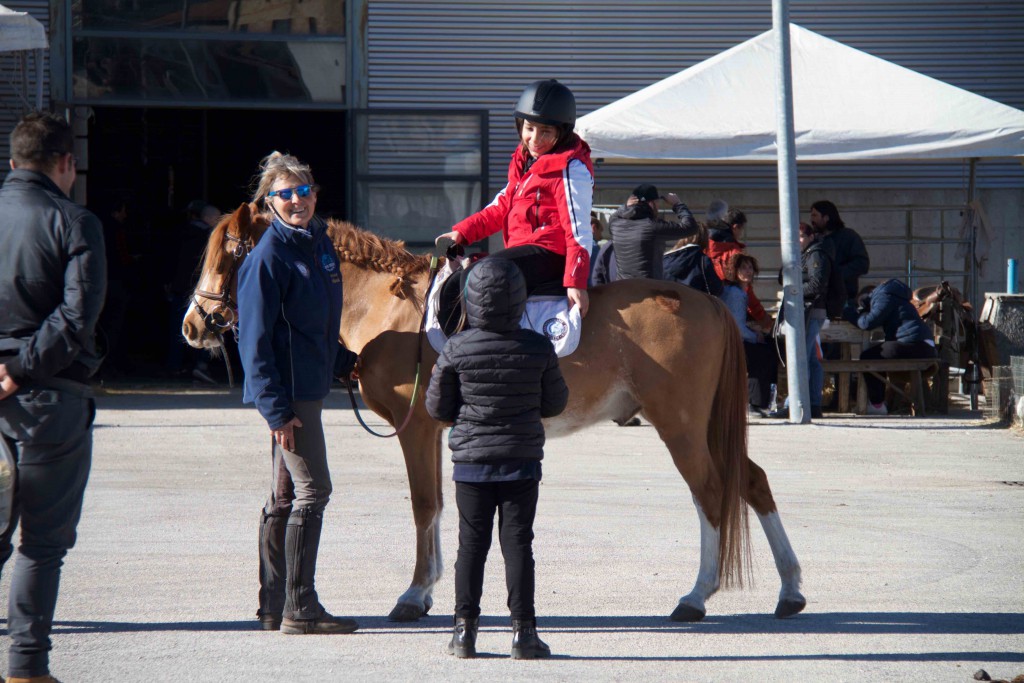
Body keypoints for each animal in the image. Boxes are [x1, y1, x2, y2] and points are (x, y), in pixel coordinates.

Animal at [184, 202, 806, 626]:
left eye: (232, 252)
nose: (193, 325)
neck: (390, 307)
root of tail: (707, 301)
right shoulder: (434, 433)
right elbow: (436, 505)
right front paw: (428, 588)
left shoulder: (415, 429)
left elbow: (424, 503)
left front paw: (413, 594)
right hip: (701, 426)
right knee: (751, 482)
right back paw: (790, 589)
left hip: (679, 425)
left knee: (711, 492)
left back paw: (697, 595)